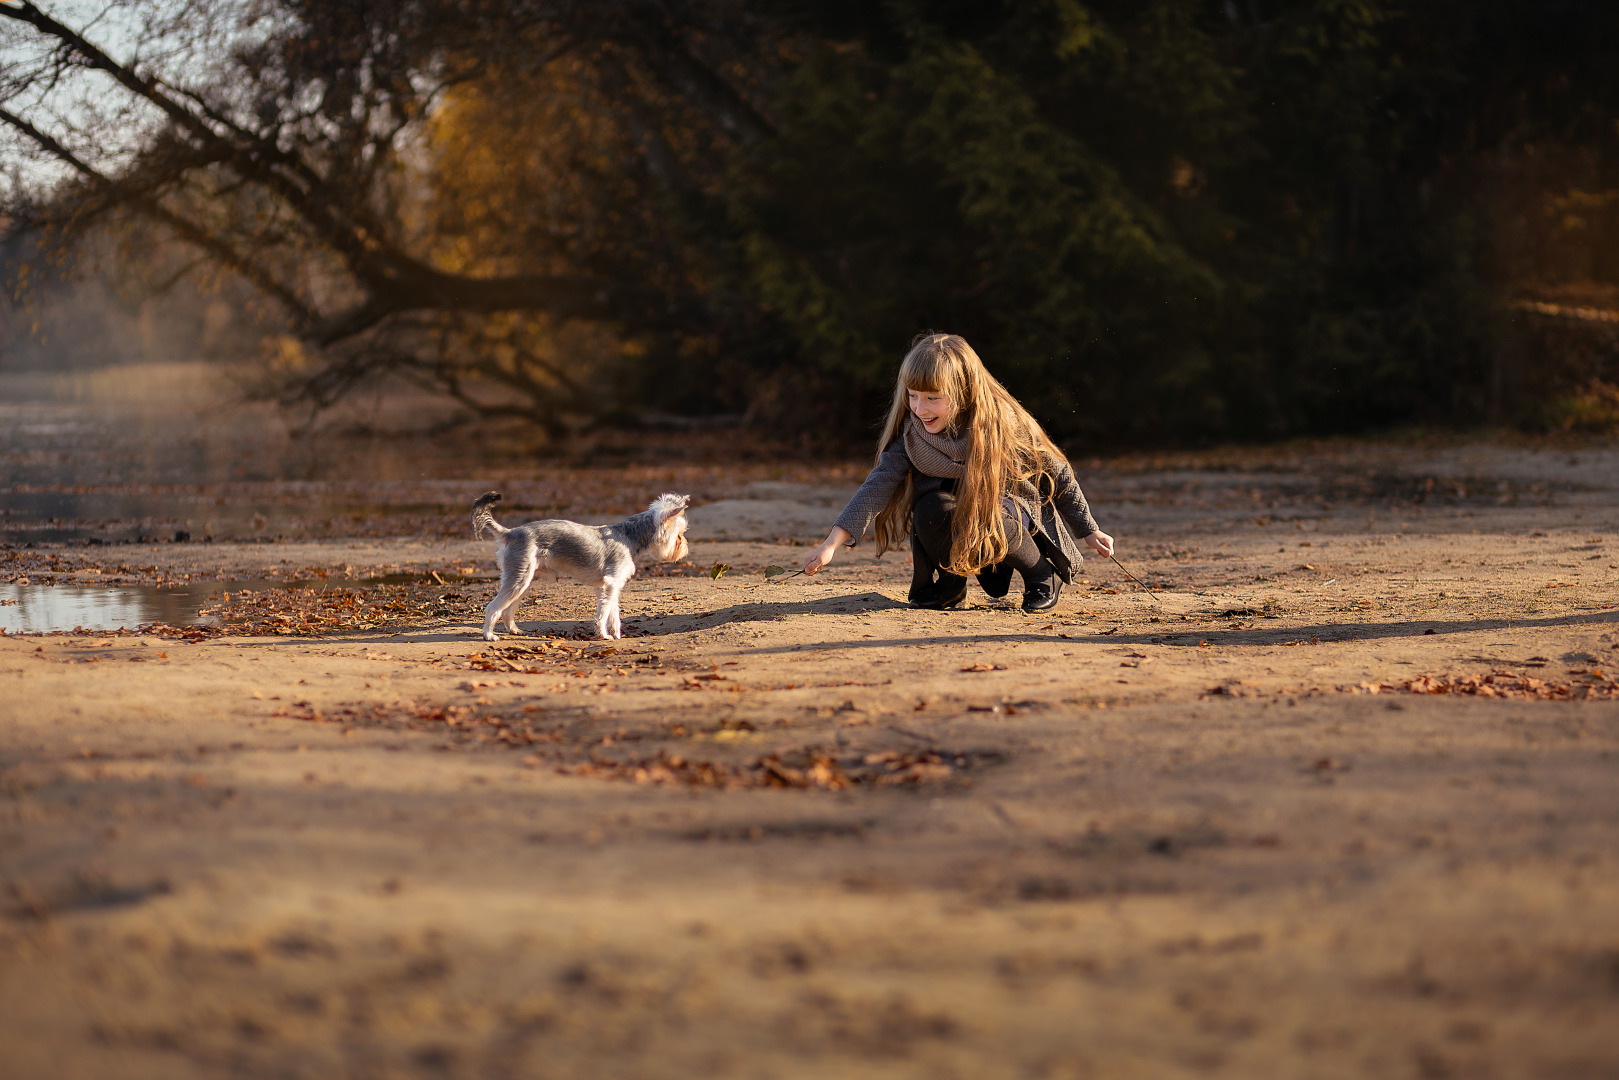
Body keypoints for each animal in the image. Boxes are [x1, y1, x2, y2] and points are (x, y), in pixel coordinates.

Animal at [472, 492, 692, 641]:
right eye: (679, 535)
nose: (685, 548)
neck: (628, 536)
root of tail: (509, 533)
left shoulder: (609, 587)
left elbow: (613, 613)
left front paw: (616, 635)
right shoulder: (611, 584)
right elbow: (603, 614)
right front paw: (604, 635)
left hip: (523, 581)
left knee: (507, 610)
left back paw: (514, 630)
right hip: (519, 578)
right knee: (493, 607)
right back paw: (489, 635)